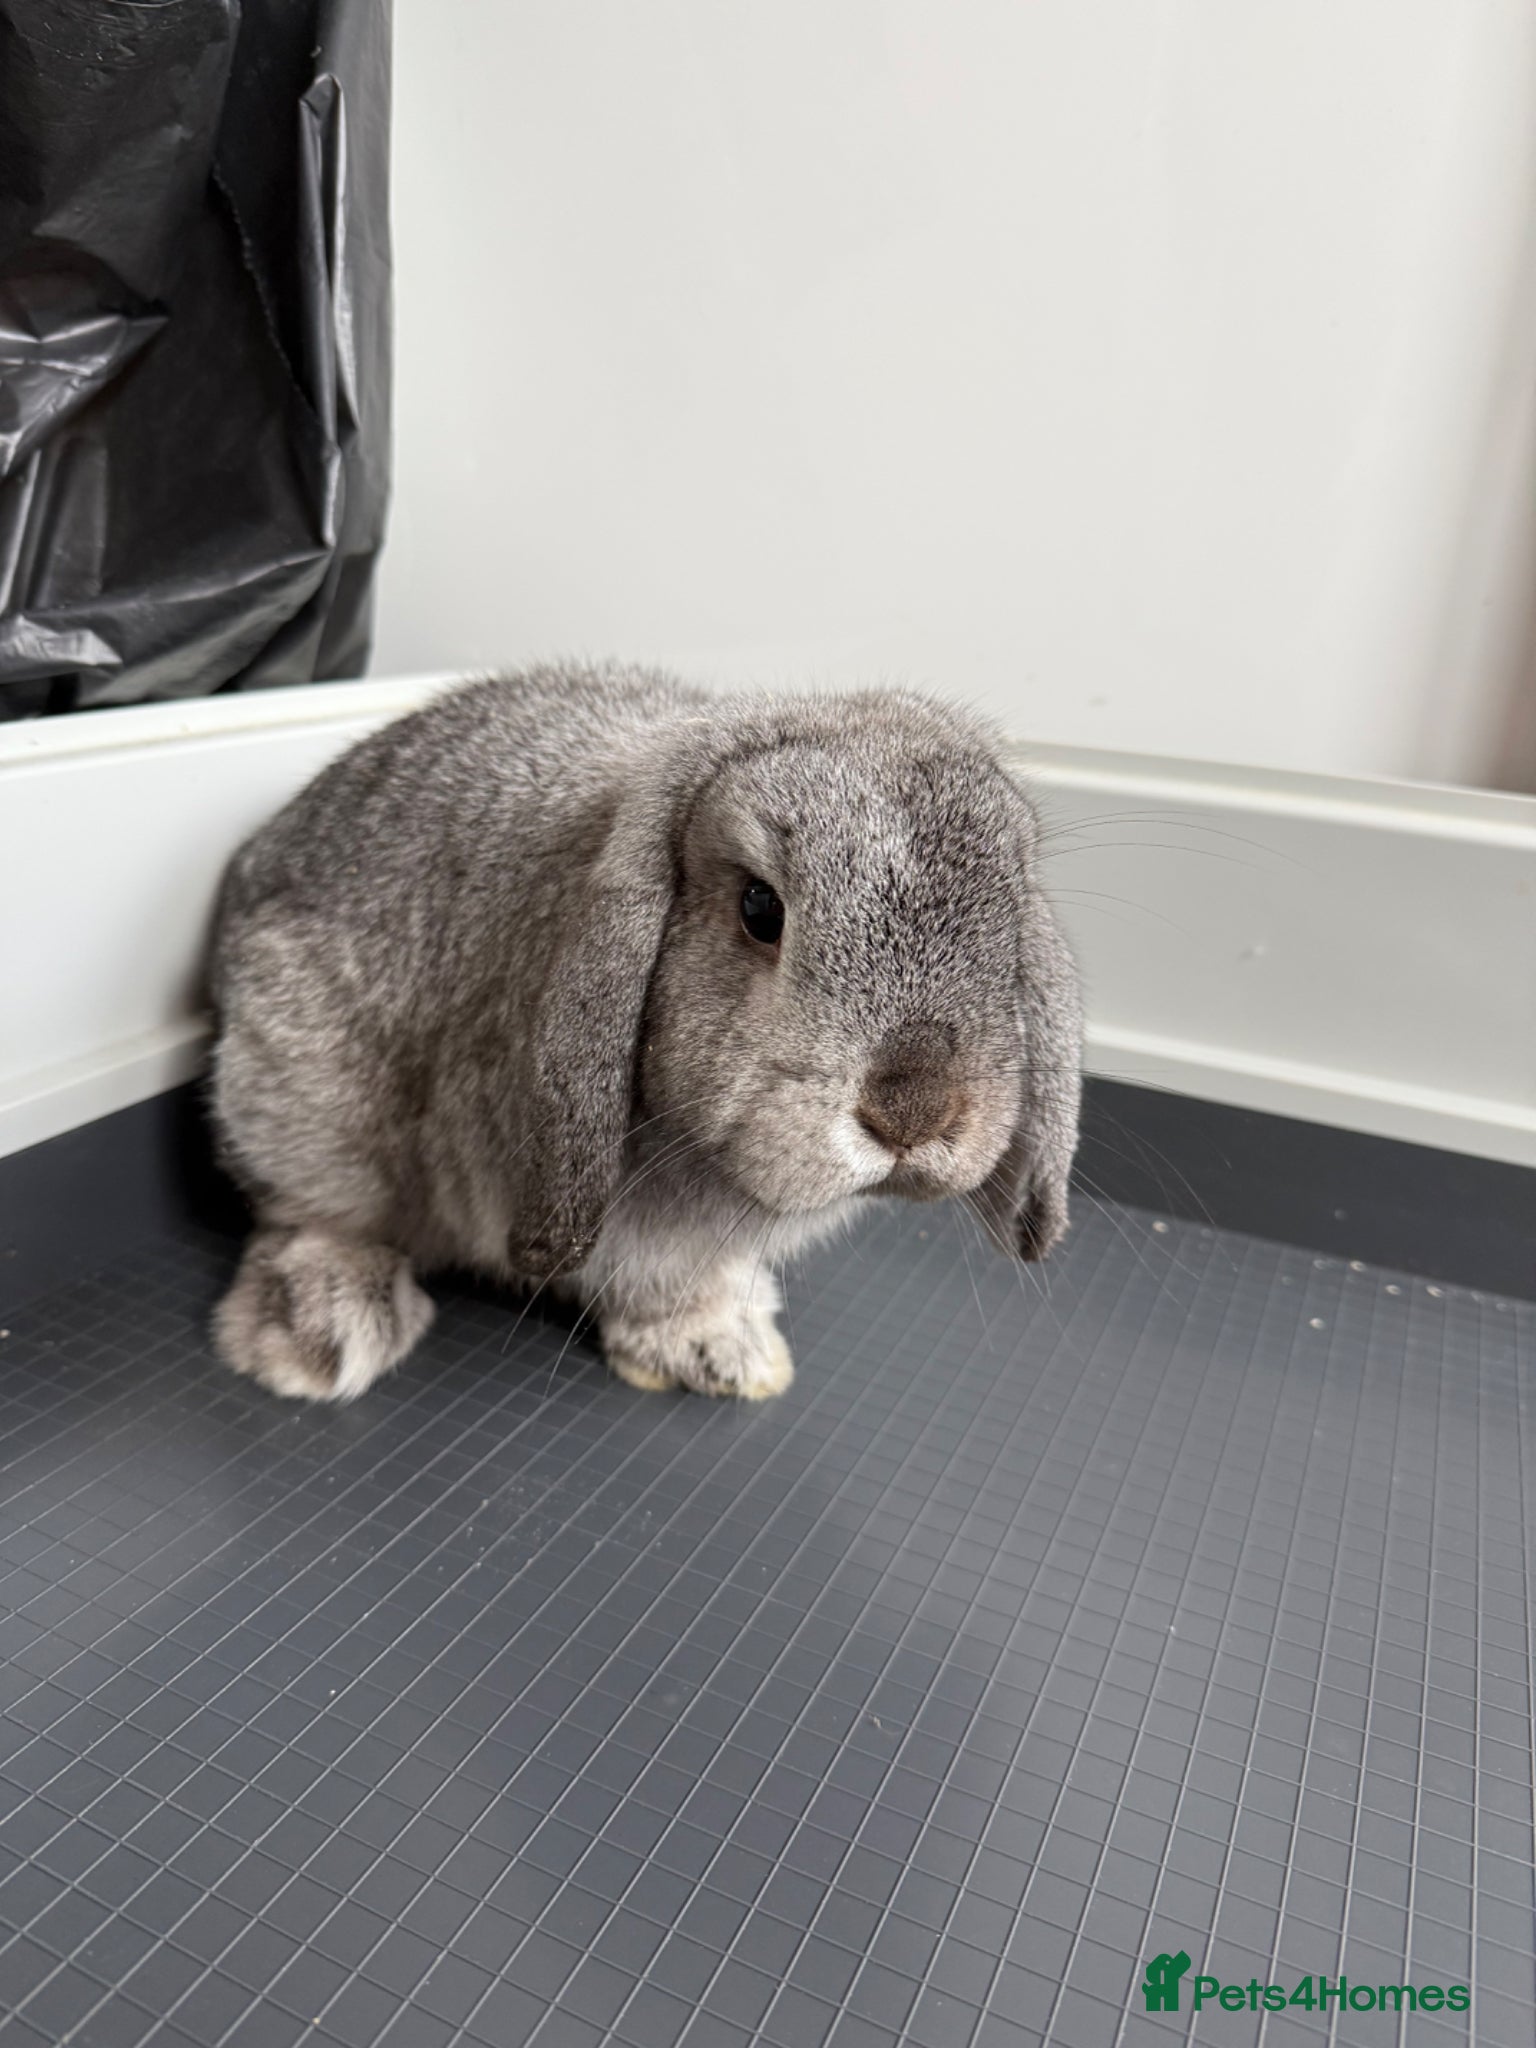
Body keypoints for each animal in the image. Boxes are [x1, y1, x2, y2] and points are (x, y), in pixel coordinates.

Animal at [208, 663, 1083, 1404]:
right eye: (760, 908)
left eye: (1007, 921)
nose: (915, 1113)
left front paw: (723, 1355)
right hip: (303, 1091)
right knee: (315, 1212)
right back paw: (321, 1333)